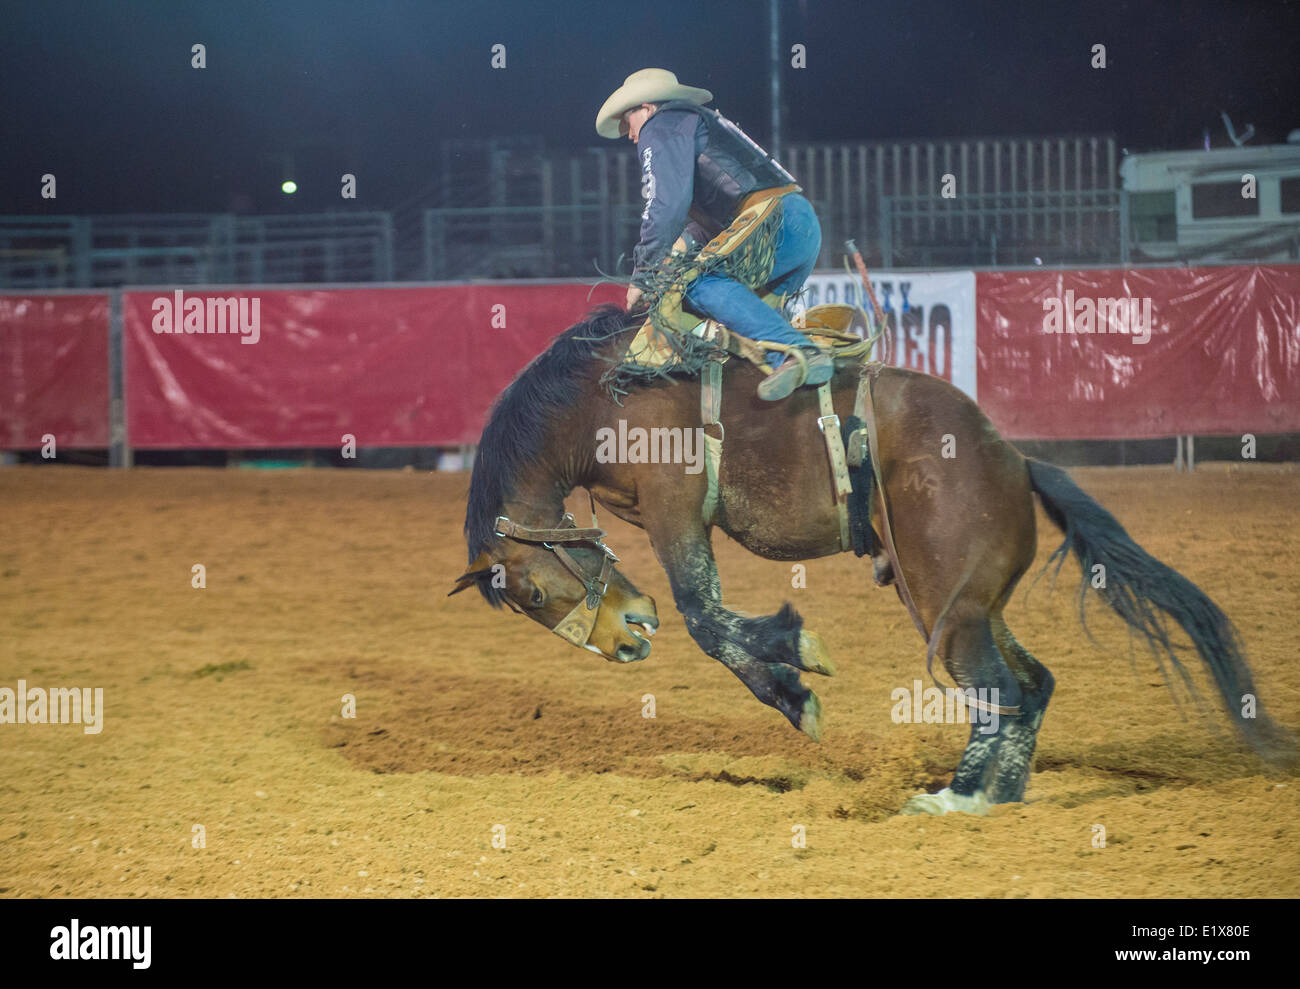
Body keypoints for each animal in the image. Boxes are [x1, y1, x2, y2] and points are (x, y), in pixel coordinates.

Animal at [450, 303, 1294, 814]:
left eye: (530, 592)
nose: (628, 636)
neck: (603, 394)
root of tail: (1016, 461)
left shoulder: (675, 508)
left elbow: (705, 617)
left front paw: (800, 666)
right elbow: (714, 624)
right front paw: (794, 690)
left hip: (948, 609)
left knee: (995, 688)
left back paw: (954, 799)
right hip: (961, 603)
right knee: (1029, 685)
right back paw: (997, 797)